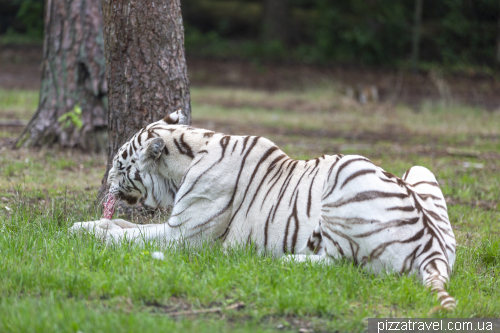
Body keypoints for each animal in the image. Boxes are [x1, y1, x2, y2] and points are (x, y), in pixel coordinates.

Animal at [70, 109, 458, 308]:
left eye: (118, 164)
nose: (106, 181)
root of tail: (433, 250)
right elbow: (128, 226)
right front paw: (91, 225)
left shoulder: (183, 236)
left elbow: (131, 236)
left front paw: (84, 231)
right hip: (420, 170)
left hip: (347, 171)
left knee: (343, 263)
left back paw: (278, 260)